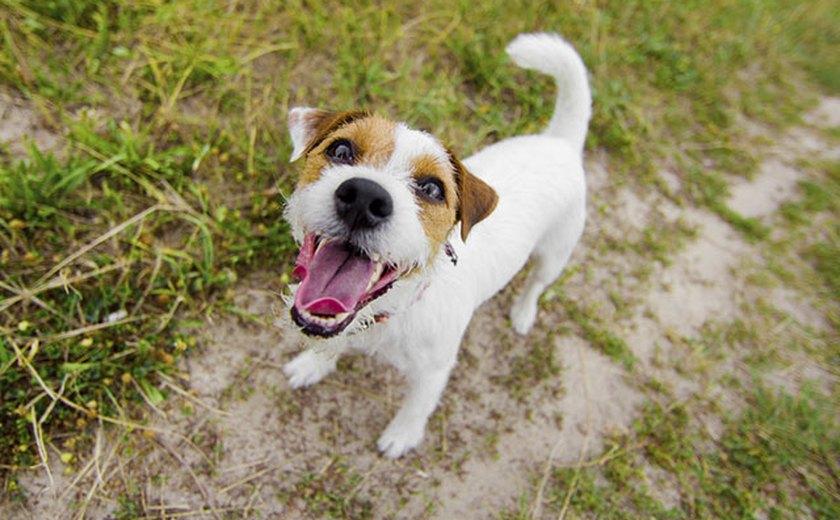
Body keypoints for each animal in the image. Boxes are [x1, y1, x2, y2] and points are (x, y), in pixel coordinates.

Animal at [278, 32, 588, 458]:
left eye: (431, 188)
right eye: (340, 151)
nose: (363, 198)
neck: (396, 308)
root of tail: (560, 143)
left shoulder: (434, 371)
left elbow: (417, 405)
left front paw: (402, 434)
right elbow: (334, 343)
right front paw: (313, 364)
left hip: (553, 253)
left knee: (537, 283)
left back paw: (523, 313)